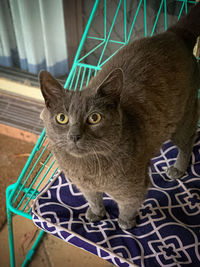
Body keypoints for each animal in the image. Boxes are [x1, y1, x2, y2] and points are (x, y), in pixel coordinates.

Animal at [39, 3, 200, 230]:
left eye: (94, 118)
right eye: (62, 118)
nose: (74, 135)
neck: (89, 169)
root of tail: (173, 33)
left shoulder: (132, 189)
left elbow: (128, 206)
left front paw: (125, 223)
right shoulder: (84, 186)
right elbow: (93, 199)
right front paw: (96, 213)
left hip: (184, 116)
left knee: (187, 143)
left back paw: (177, 168)